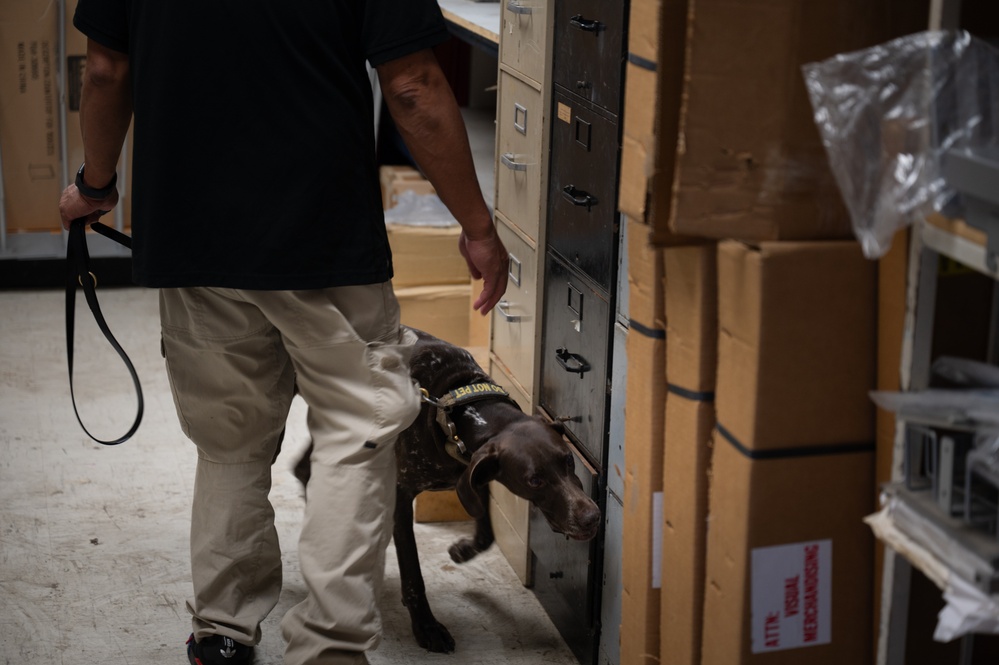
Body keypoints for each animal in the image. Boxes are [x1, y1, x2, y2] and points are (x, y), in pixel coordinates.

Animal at [292, 326, 600, 652]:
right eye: (535, 481)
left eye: (569, 460)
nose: (591, 517)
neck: (456, 411)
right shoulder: (401, 496)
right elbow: (413, 573)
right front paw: (426, 626)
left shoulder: (473, 473)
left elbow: (486, 531)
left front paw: (464, 550)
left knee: (303, 468)